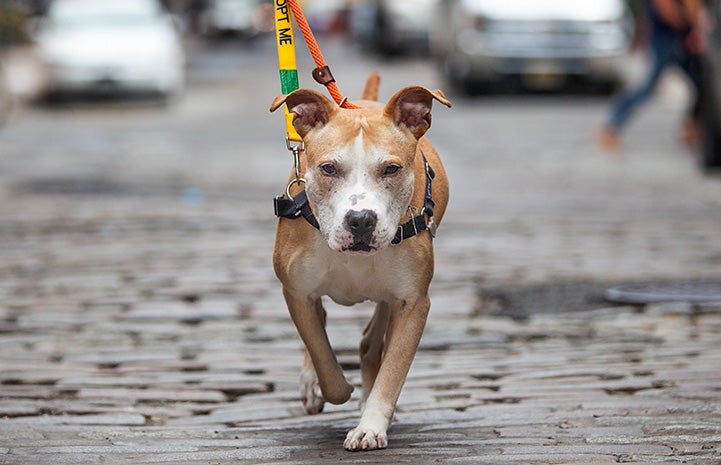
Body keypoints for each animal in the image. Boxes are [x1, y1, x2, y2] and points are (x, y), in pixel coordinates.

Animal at [270, 75, 450, 450]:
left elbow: (392, 370)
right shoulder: (296, 291)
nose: (361, 220)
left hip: (388, 297)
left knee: (371, 341)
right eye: (328, 168)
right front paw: (332, 387)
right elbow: (322, 354)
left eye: (392, 169)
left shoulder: (413, 302)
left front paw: (370, 425)